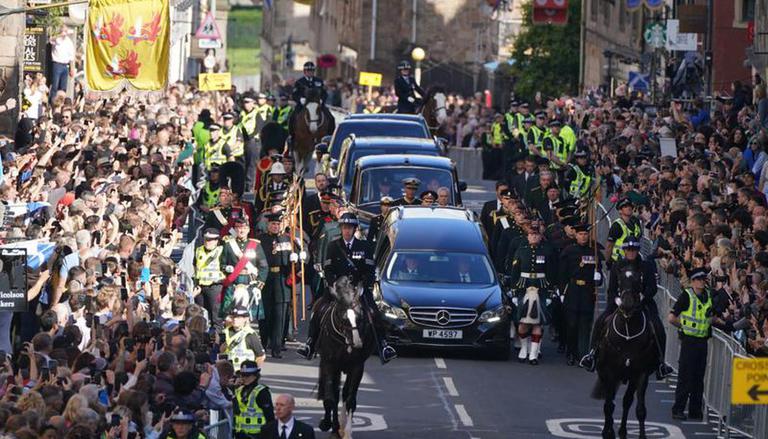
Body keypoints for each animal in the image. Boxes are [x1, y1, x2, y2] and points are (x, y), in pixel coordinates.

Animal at [312, 276, 372, 438]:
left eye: (360, 316)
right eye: (343, 318)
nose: (357, 343)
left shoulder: (357, 367)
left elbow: (350, 399)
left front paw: (347, 431)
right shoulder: (329, 364)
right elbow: (330, 398)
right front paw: (330, 426)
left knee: (344, 393)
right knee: (335, 392)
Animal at [592, 288, 656, 438]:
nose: (627, 305)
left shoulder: (641, 374)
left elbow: (639, 409)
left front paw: (642, 435)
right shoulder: (609, 373)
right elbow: (609, 405)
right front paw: (607, 432)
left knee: (626, 401)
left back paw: (622, 430)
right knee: (610, 401)